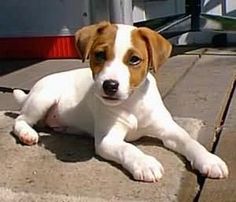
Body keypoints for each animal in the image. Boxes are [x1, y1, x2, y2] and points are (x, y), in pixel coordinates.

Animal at [12, 21, 229, 181]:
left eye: (134, 59)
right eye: (100, 55)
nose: (110, 85)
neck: (132, 103)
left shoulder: (168, 129)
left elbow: (189, 140)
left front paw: (209, 159)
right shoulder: (108, 139)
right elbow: (128, 148)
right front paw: (145, 163)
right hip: (42, 98)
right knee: (21, 120)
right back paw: (27, 134)